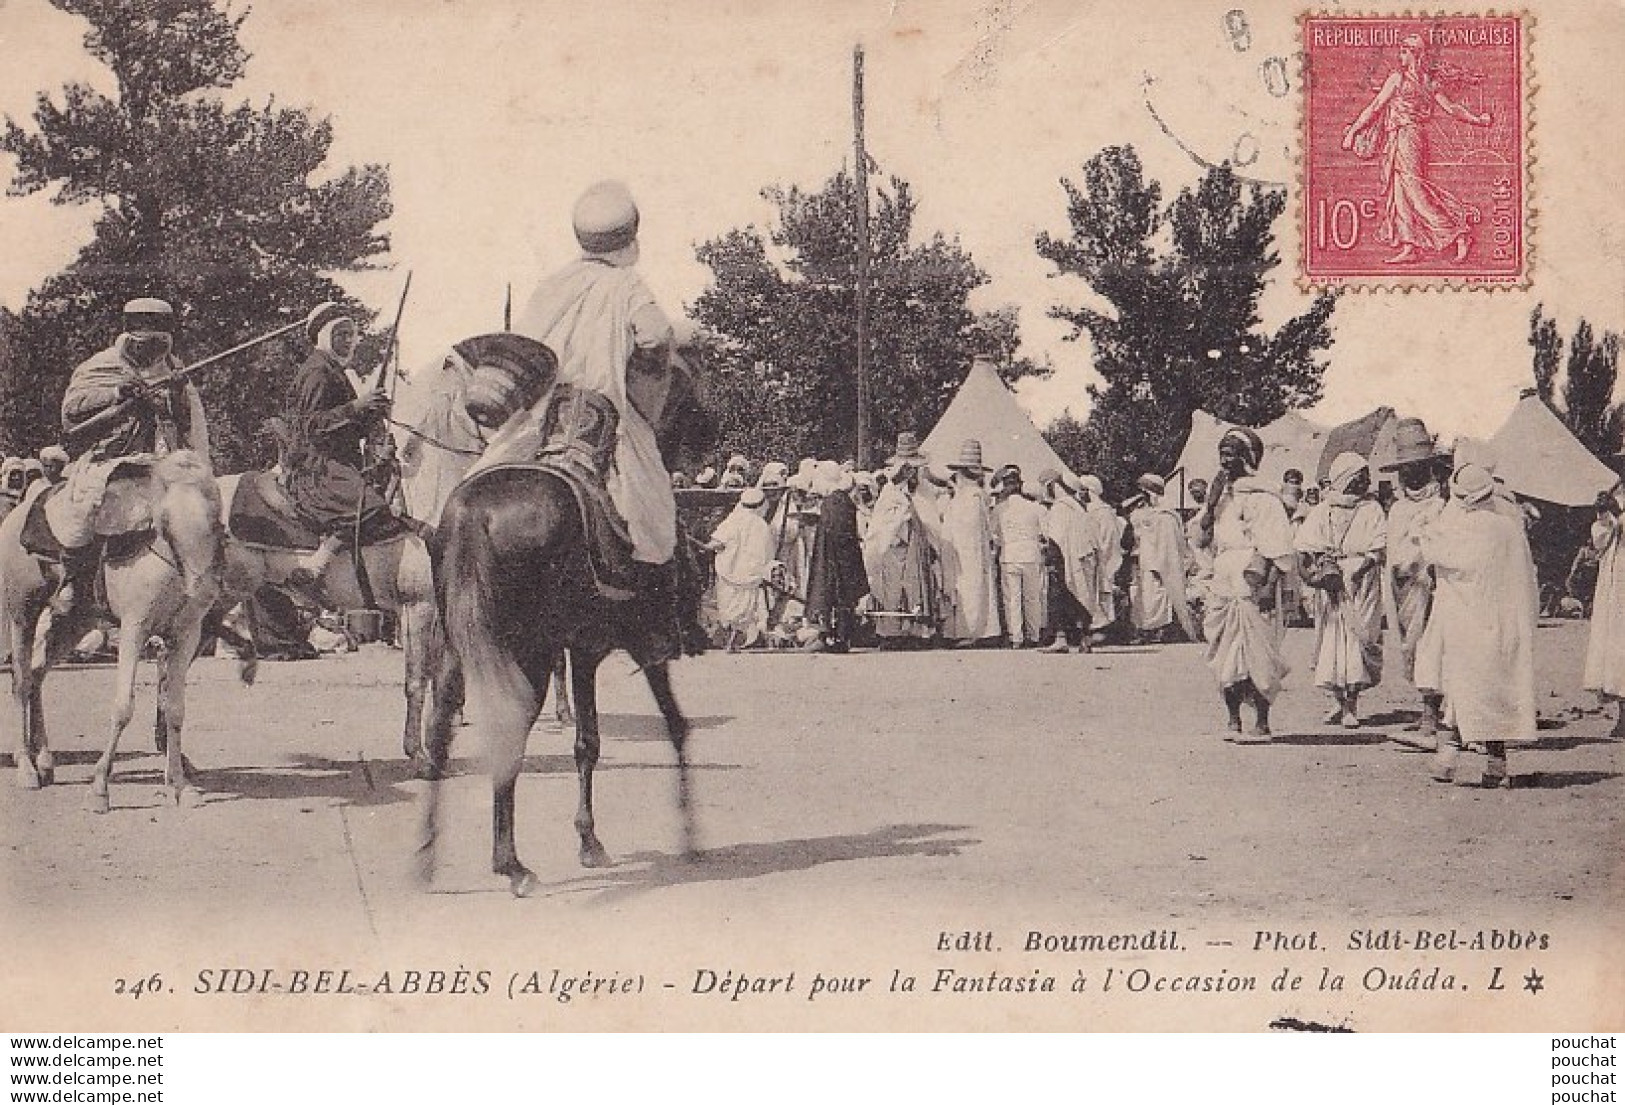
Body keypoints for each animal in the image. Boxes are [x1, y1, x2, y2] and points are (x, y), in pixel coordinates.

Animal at [0, 451, 225, 812]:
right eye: (163, 522)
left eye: (215, 520)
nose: (202, 589)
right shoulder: (135, 628)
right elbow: (122, 708)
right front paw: (99, 789)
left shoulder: (185, 635)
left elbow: (175, 710)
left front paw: (182, 787)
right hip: (22, 611)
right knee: (20, 681)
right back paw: (27, 768)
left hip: (73, 622)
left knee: (36, 674)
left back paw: (46, 762)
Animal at [419, 351, 718, 897]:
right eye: (686, 385)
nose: (706, 435)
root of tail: (473, 514)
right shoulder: (633, 646)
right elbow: (663, 728)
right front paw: (687, 835)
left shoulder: (581, 652)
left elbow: (587, 742)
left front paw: (588, 839)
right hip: (528, 654)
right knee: (507, 732)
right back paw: (510, 864)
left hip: (461, 648)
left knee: (443, 728)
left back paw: (431, 857)